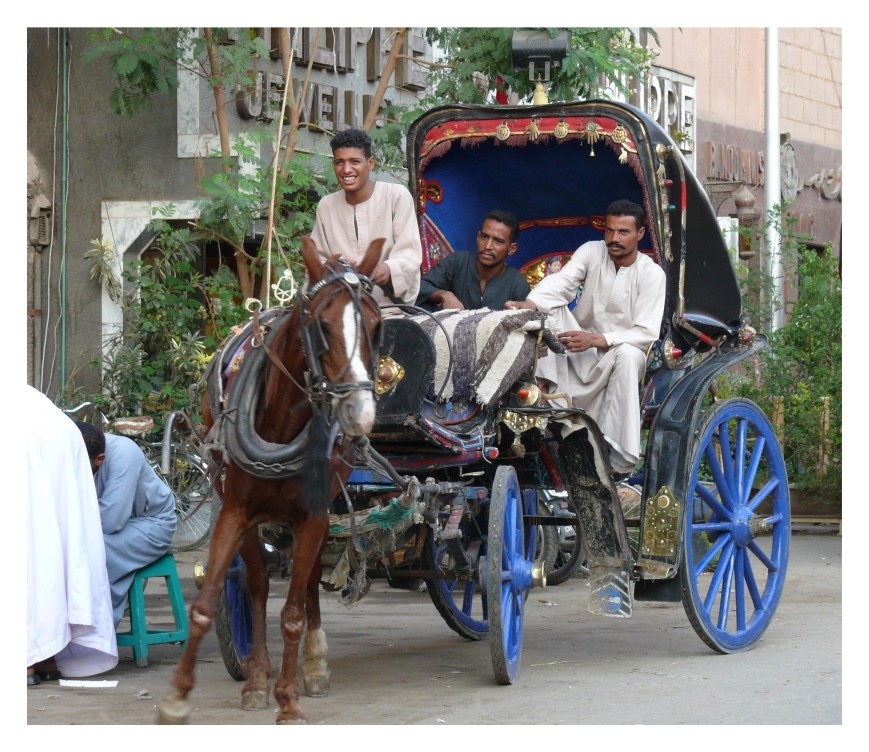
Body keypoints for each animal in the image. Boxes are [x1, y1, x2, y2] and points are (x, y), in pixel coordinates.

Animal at [155, 235, 384, 724]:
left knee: (309, 580)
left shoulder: (314, 515)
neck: (279, 425)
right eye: (322, 325)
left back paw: (313, 666)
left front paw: (290, 700)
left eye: (376, 327)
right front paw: (179, 696)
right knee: (258, 586)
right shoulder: (235, 511)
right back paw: (257, 676)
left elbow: (294, 611)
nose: (359, 413)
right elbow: (211, 602)